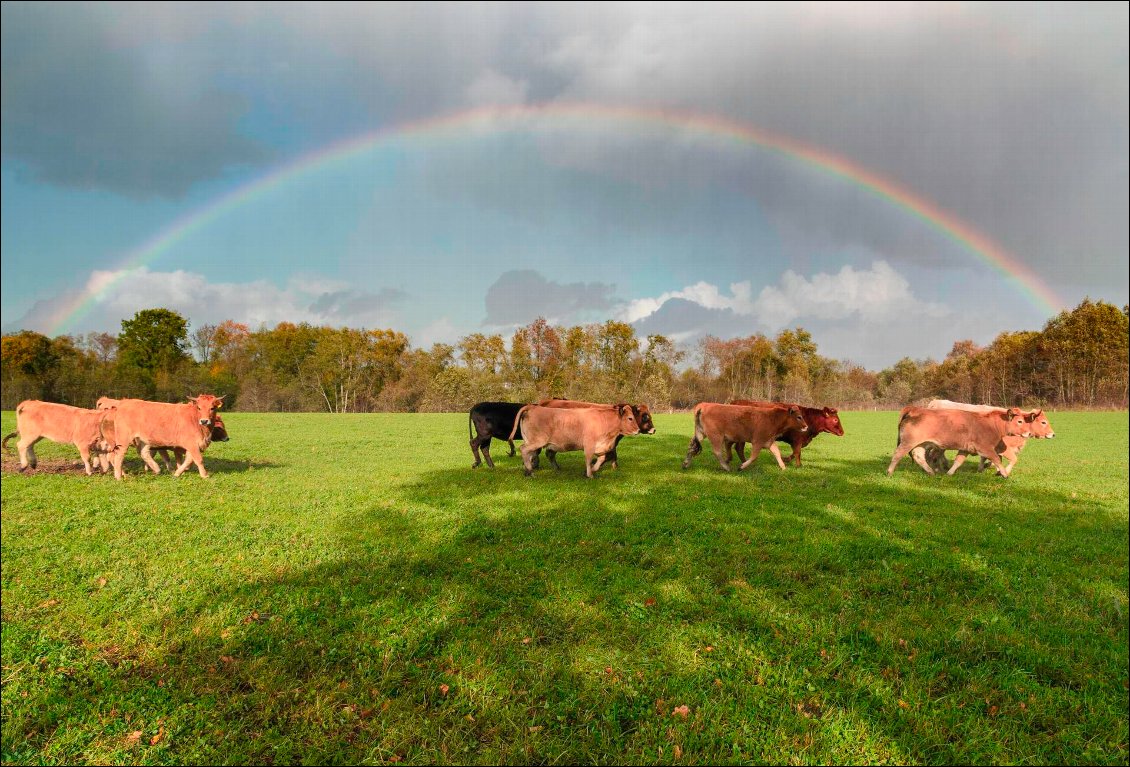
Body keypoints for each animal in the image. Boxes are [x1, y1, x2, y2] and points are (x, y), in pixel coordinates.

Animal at [510, 404, 641, 476]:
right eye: (630, 418)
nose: (638, 430)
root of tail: (533, 407)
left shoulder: (600, 446)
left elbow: (601, 459)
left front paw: (593, 470)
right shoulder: (589, 445)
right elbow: (588, 460)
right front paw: (589, 475)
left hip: (531, 441)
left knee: (529, 454)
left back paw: (528, 471)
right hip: (537, 441)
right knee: (523, 449)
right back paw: (530, 472)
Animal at [890, 404, 1035, 476]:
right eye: (1020, 421)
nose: (1028, 433)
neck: (991, 424)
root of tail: (914, 410)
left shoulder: (965, 448)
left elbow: (958, 461)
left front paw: (949, 473)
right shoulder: (985, 448)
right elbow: (996, 459)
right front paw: (1004, 474)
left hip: (923, 443)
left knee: (919, 456)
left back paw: (931, 472)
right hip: (908, 442)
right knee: (897, 454)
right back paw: (890, 472)